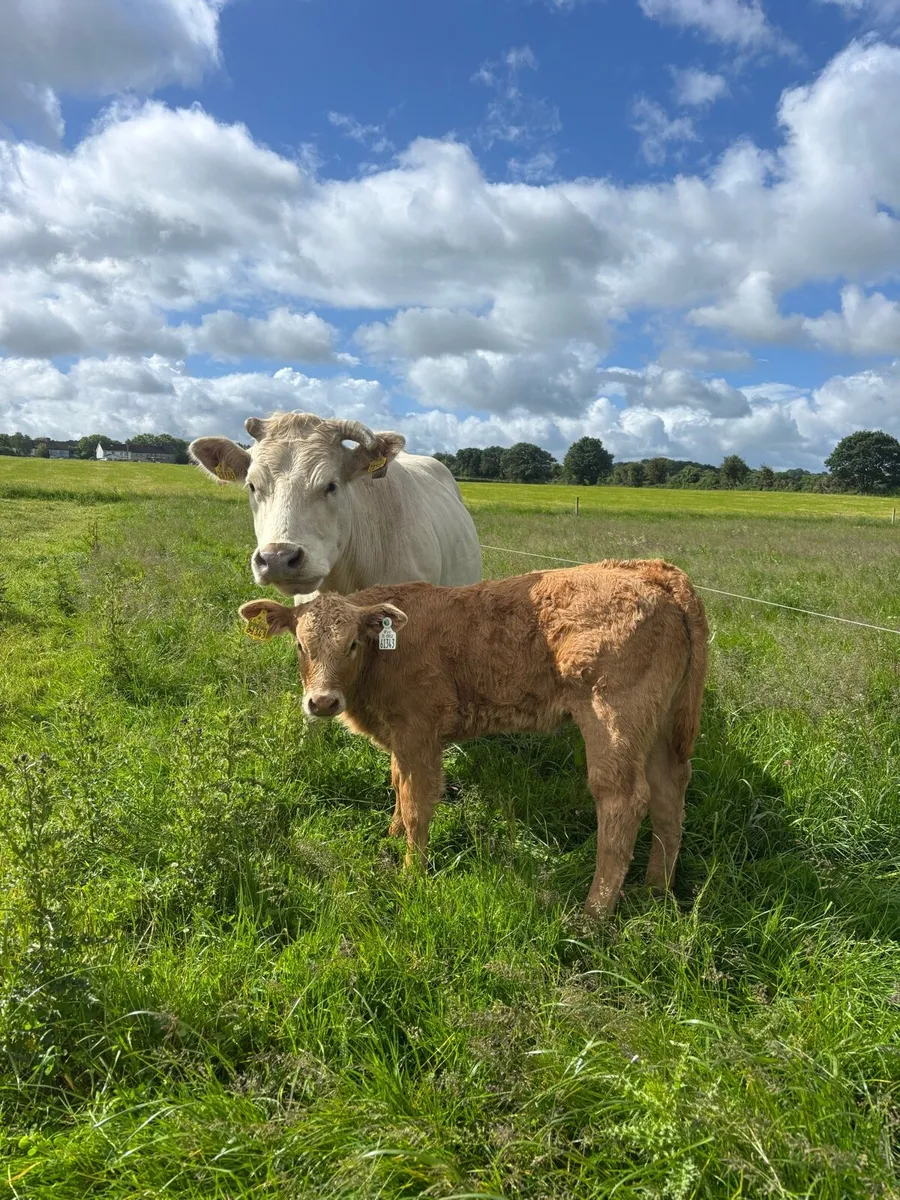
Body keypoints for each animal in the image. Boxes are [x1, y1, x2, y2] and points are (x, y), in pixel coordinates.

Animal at [237, 559, 708, 917]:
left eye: (353, 643)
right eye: (300, 645)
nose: (322, 702)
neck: (385, 655)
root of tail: (653, 571)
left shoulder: (419, 733)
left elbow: (416, 803)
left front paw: (411, 873)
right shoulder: (401, 737)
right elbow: (396, 783)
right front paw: (390, 836)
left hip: (614, 717)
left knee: (622, 800)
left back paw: (593, 914)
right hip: (661, 723)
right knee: (669, 794)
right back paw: (655, 891)